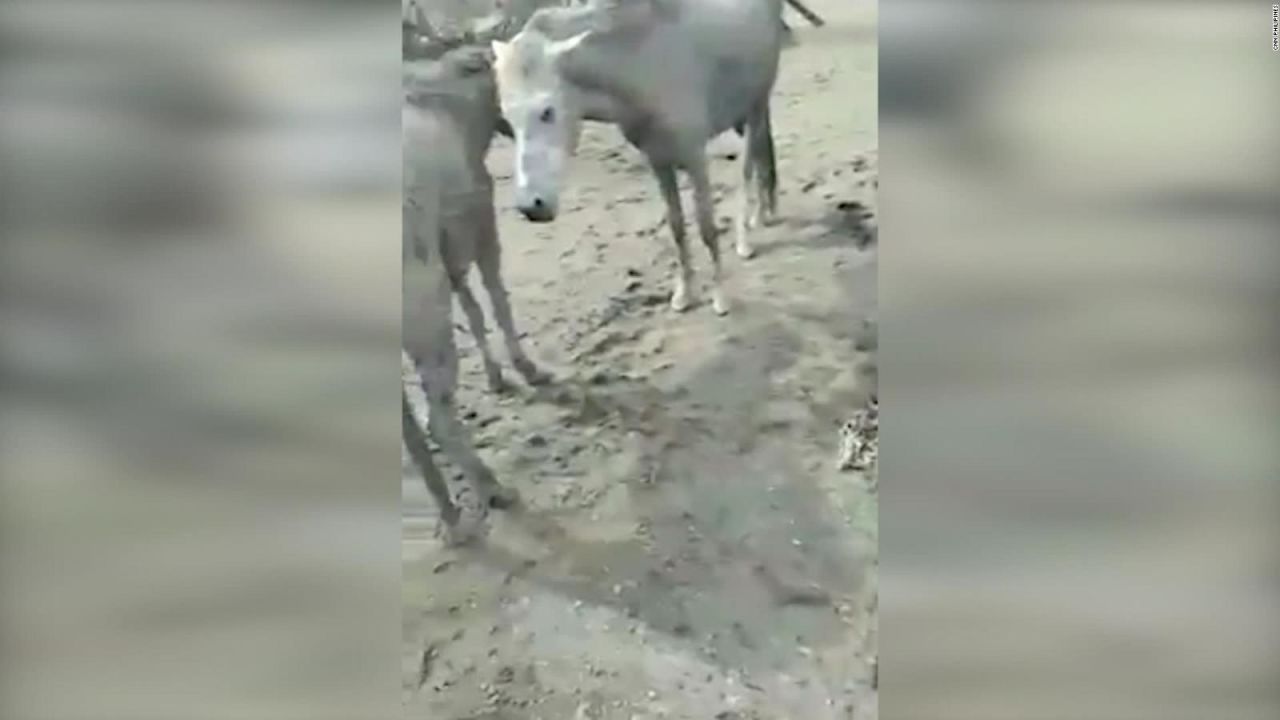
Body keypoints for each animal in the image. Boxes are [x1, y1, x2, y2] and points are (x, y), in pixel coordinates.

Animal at [488, 0, 788, 313]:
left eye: (547, 111)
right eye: (507, 118)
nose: (531, 206)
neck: (642, 60)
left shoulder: (694, 157)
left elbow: (706, 227)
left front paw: (720, 296)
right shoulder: (658, 160)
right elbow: (676, 226)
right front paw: (685, 293)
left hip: (755, 107)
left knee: (748, 168)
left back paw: (746, 236)